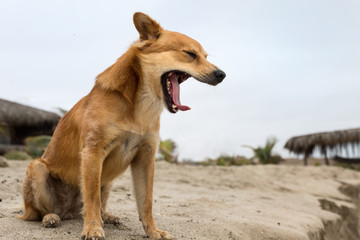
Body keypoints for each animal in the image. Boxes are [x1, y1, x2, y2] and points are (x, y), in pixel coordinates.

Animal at [19, 12, 225, 239]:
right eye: (190, 54)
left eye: (206, 56)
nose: (221, 74)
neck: (139, 106)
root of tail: (68, 211)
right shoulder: (93, 152)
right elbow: (92, 197)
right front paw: (93, 228)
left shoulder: (145, 158)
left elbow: (146, 202)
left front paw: (152, 231)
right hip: (38, 168)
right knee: (40, 212)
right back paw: (51, 218)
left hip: (106, 180)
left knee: (94, 206)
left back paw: (106, 216)